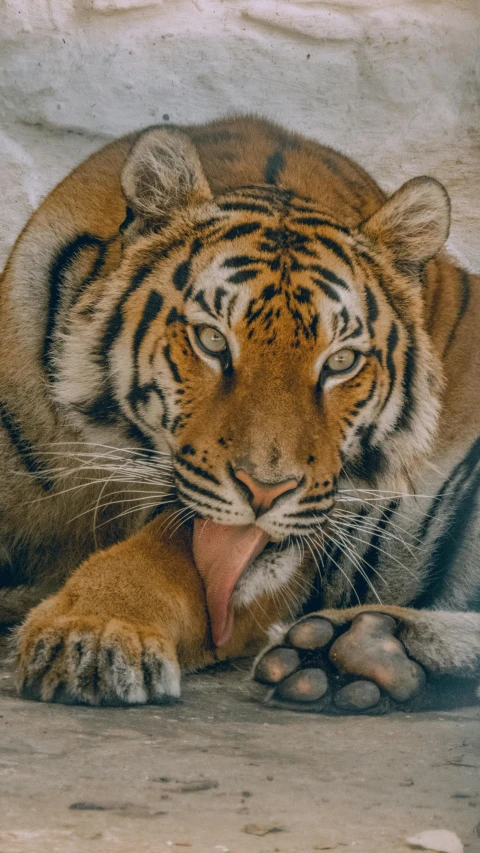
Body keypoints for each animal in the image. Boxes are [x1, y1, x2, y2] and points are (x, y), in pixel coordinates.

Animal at [0, 115, 478, 712]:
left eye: (340, 361)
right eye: (211, 341)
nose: (267, 491)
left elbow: (166, 558)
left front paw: (92, 634)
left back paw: (360, 651)